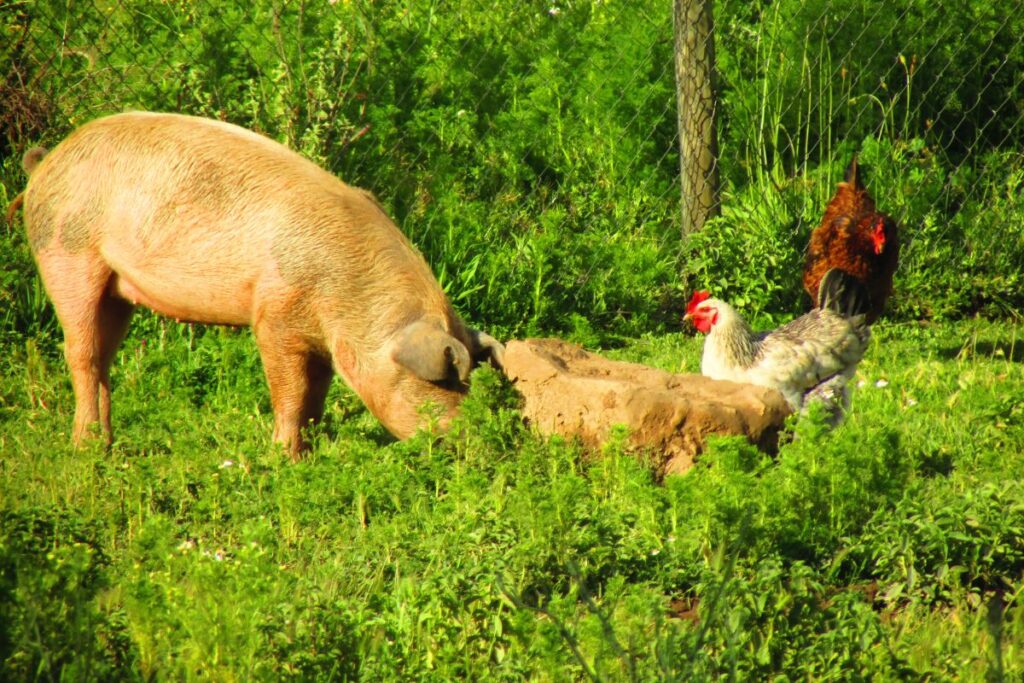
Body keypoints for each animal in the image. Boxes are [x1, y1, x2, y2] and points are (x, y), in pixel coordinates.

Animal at [13, 111, 503, 458]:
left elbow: (316, 396)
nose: (475, 442)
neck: (350, 298)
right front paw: (283, 457)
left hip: (118, 290)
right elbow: (290, 391)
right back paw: (87, 446)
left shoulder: (321, 341)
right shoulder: (276, 315)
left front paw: (311, 454)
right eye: (449, 381)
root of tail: (46, 162)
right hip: (66, 252)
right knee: (80, 352)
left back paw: (109, 444)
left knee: (104, 355)